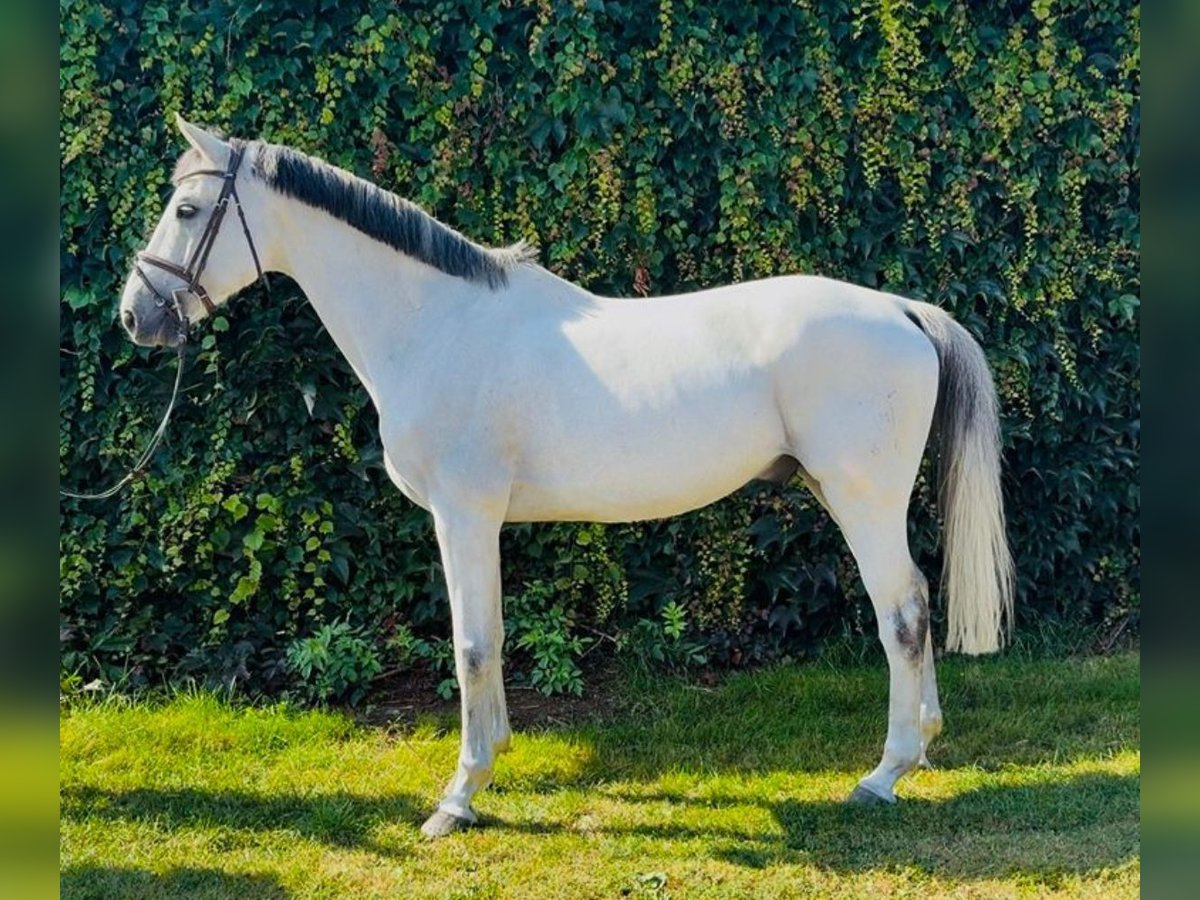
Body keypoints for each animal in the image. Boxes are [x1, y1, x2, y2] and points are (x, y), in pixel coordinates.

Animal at [119, 115, 1013, 838]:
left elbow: (473, 644)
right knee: (915, 603)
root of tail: (902, 311)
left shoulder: (463, 514)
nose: (136, 315)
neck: (436, 325)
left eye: (188, 211)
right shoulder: (474, 521)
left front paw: (458, 798)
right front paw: (490, 764)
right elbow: (489, 637)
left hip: (863, 499)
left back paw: (883, 775)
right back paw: (921, 754)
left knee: (901, 615)